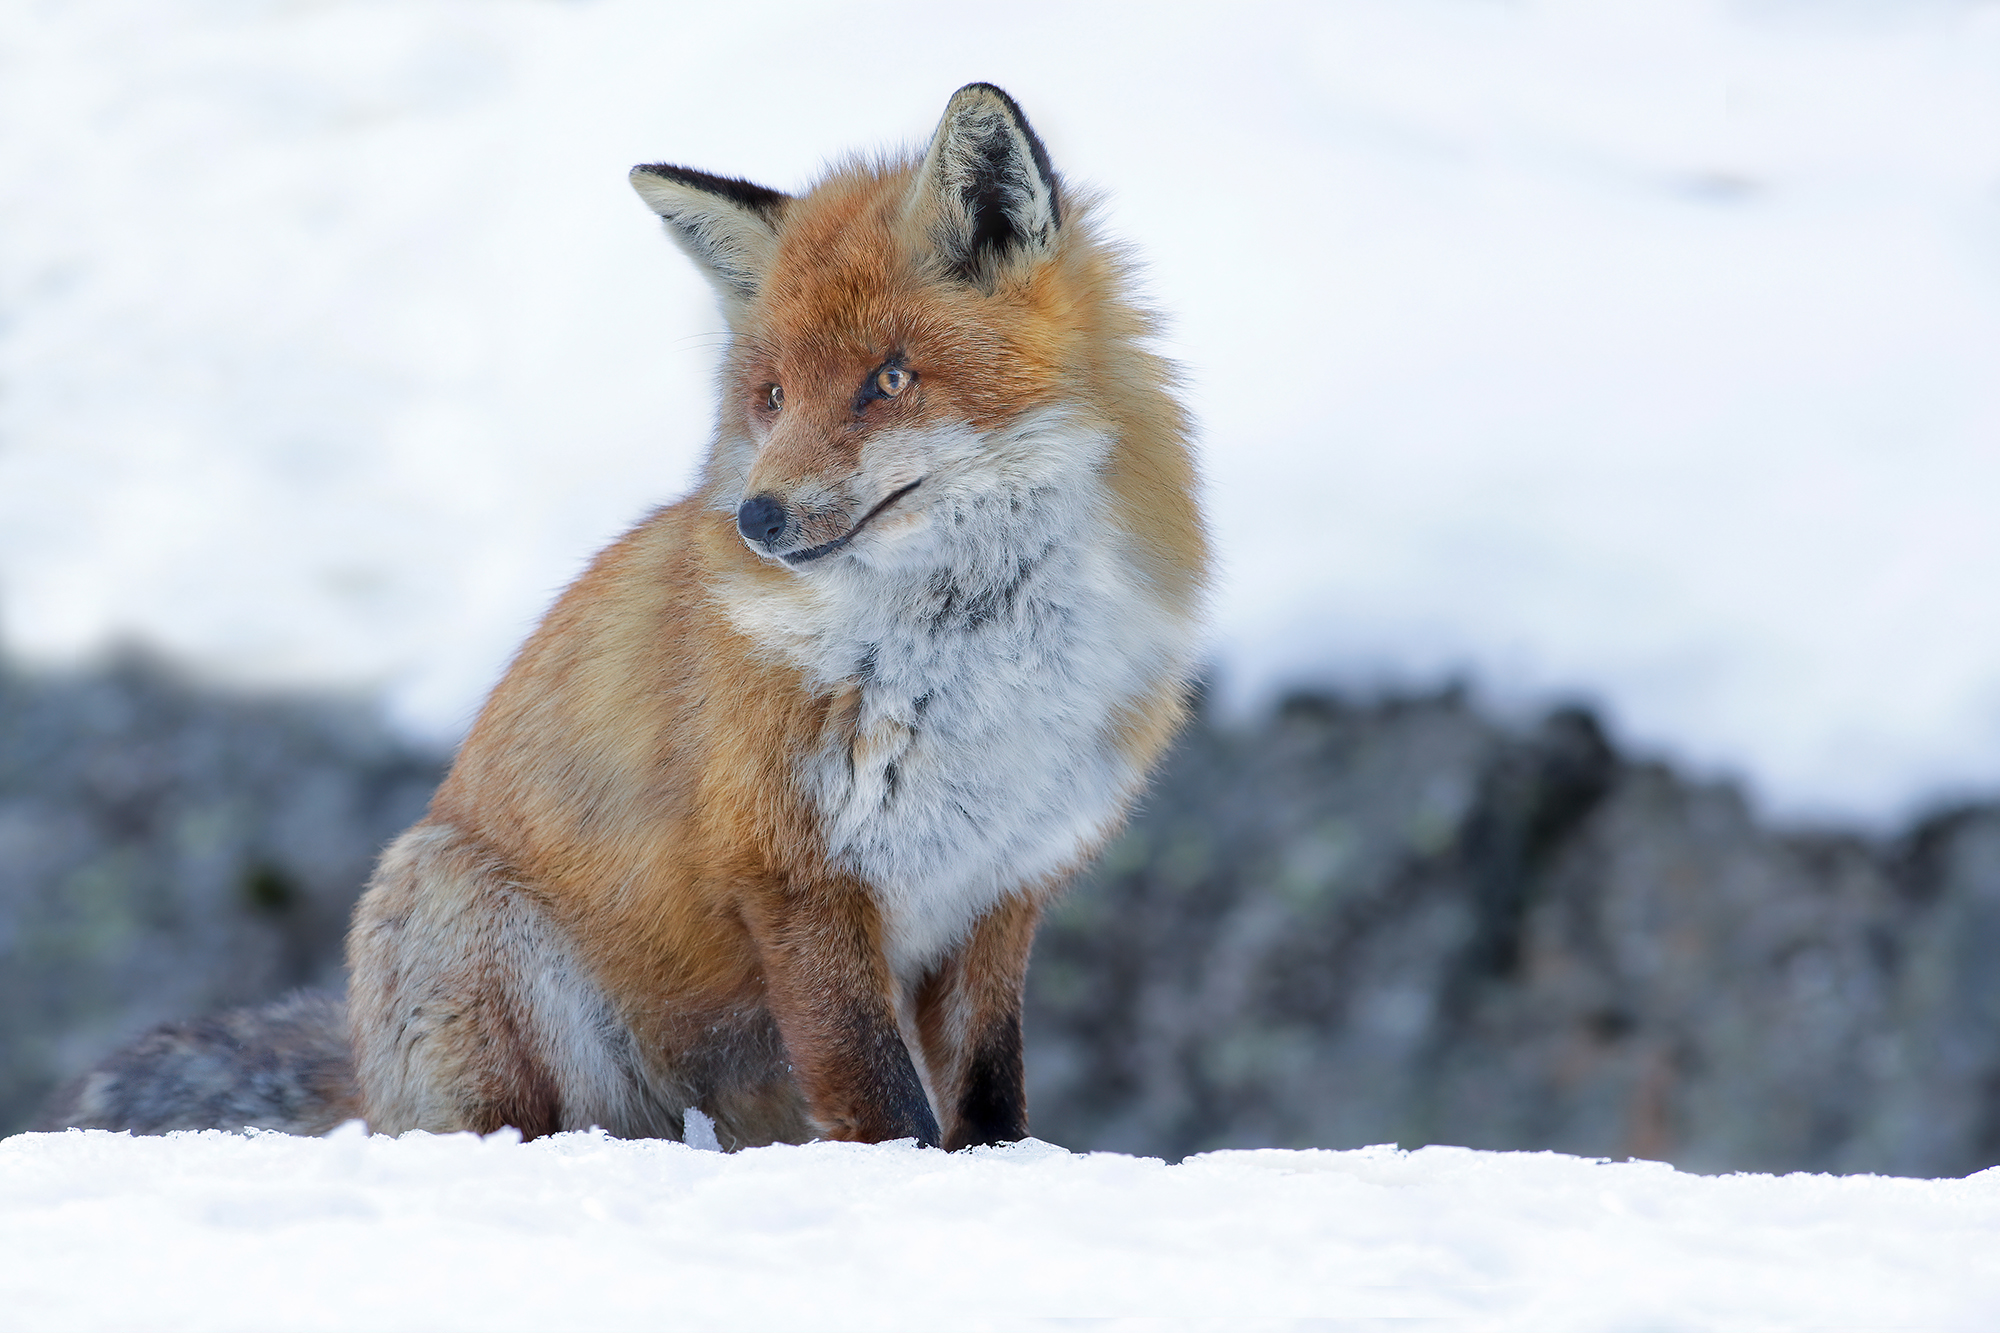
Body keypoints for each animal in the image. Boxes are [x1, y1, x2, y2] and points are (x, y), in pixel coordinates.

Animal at [38, 83, 1206, 1150]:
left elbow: (989, 1100)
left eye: (888, 379)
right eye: (771, 397)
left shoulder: (1001, 891)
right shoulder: (797, 877)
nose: (757, 518)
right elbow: (886, 1103)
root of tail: (367, 1077)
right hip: (471, 923)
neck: (973, 666)